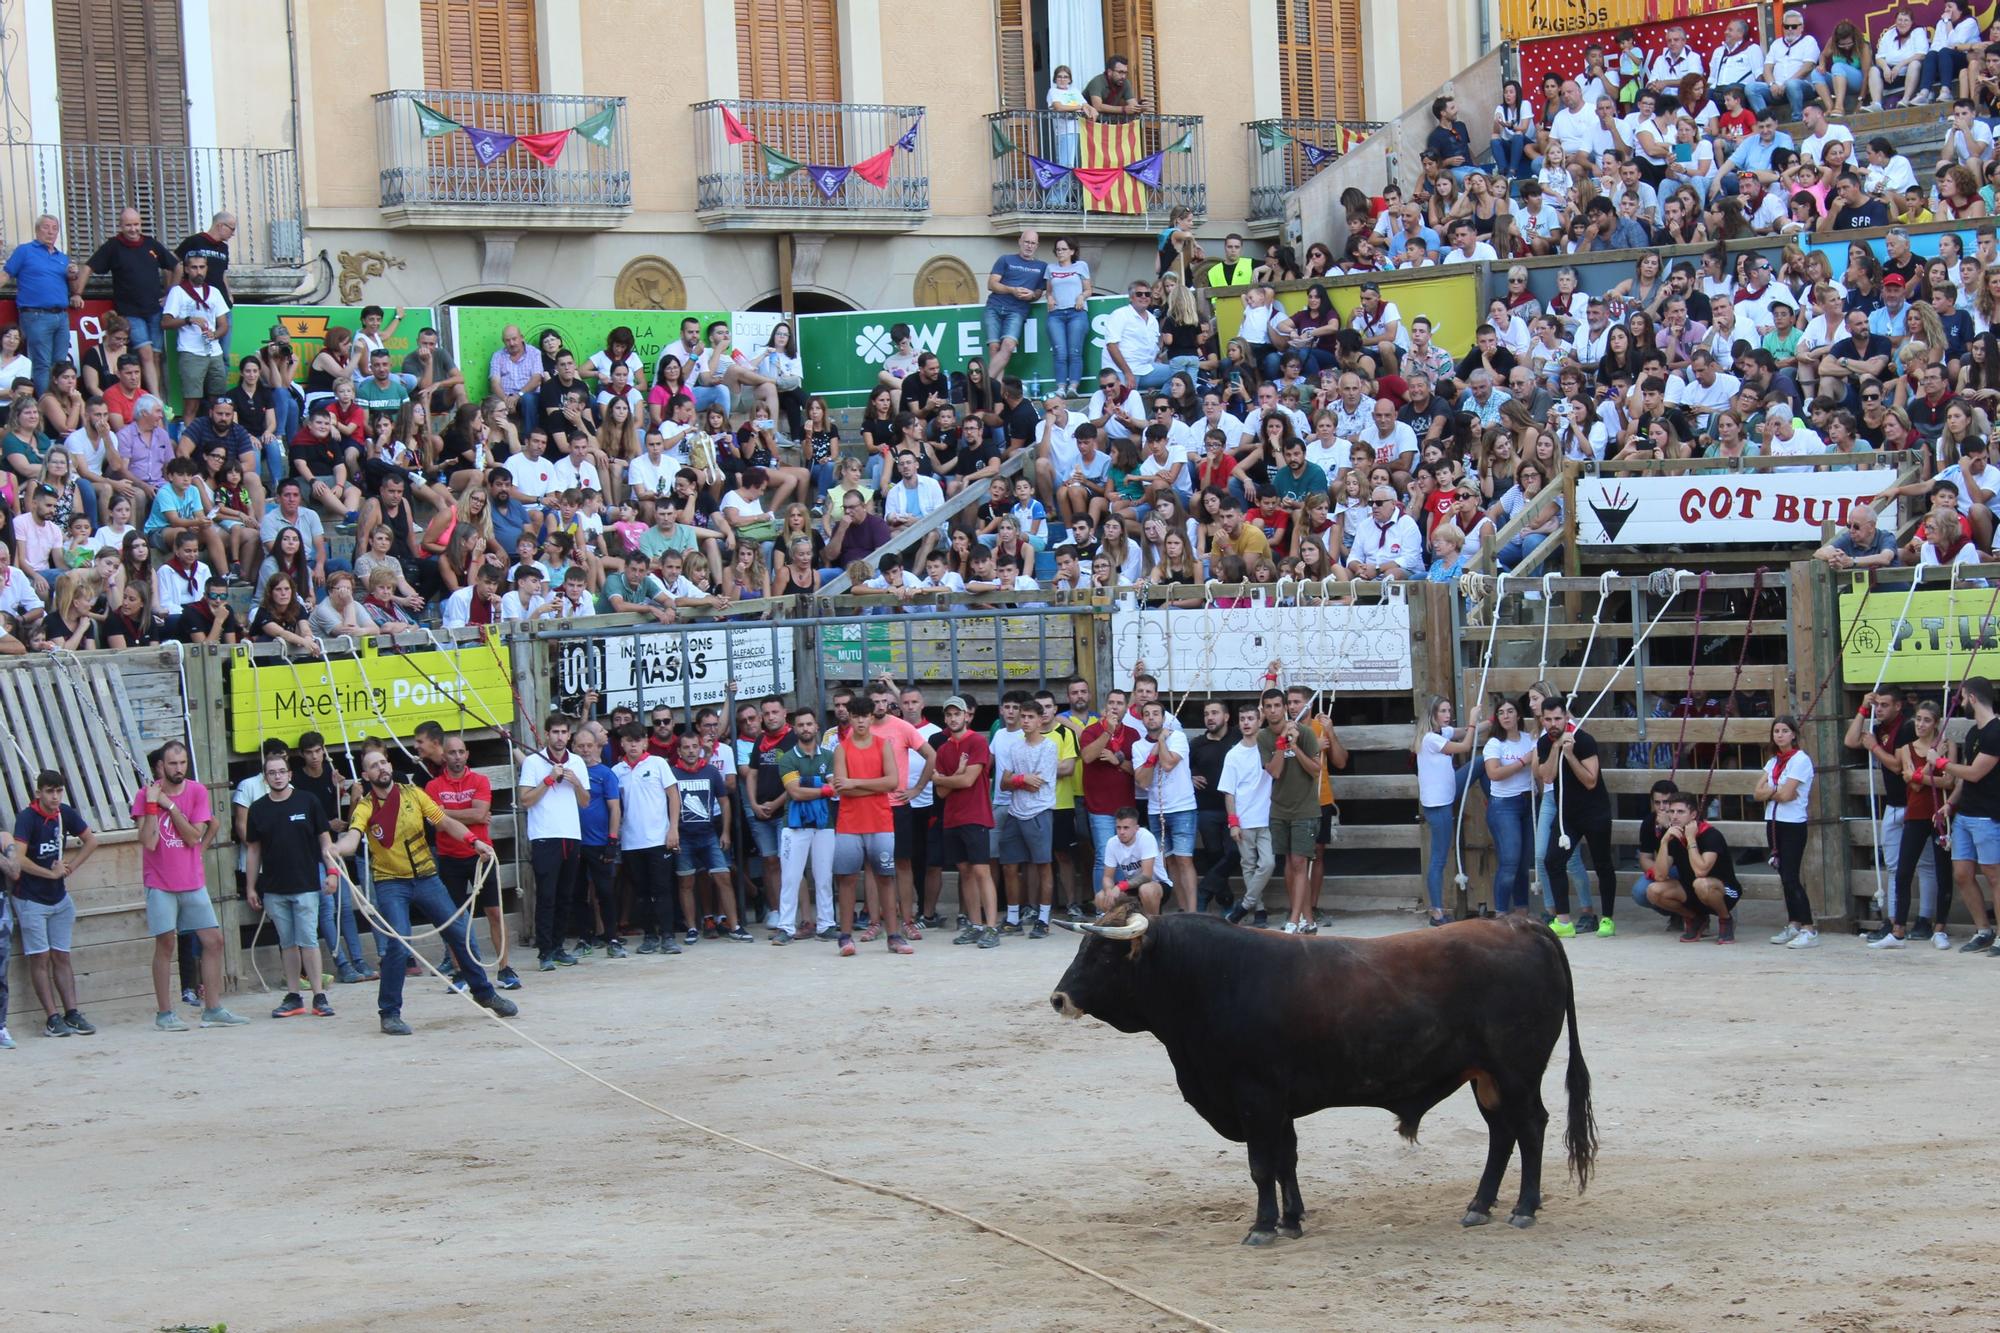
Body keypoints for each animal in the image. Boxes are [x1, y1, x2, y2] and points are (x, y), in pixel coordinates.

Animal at [1048, 908, 1592, 1240]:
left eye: (1103, 954)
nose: (1058, 998)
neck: (1209, 976)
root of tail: (1521, 925)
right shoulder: (1277, 1104)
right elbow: (1286, 1159)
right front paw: (1292, 1219)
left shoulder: (1255, 1097)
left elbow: (1262, 1165)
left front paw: (1263, 1226)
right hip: (1486, 1077)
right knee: (1502, 1133)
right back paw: (1479, 1205)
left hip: (1516, 1070)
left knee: (1531, 1128)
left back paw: (1524, 1208)